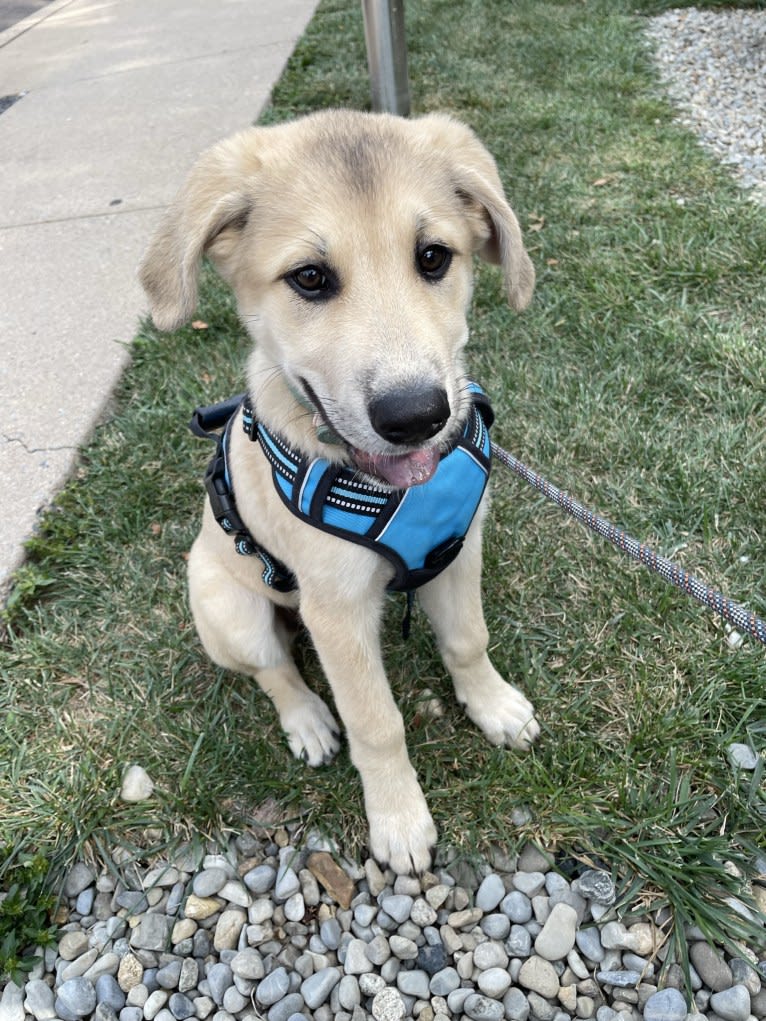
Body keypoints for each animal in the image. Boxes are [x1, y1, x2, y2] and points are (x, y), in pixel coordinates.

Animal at [142, 111, 539, 878]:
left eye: (434, 257)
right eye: (310, 277)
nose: (416, 415)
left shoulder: (459, 551)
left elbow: (468, 639)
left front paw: (493, 706)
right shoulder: (336, 611)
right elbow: (376, 721)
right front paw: (400, 819)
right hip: (226, 607)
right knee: (273, 670)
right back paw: (307, 722)